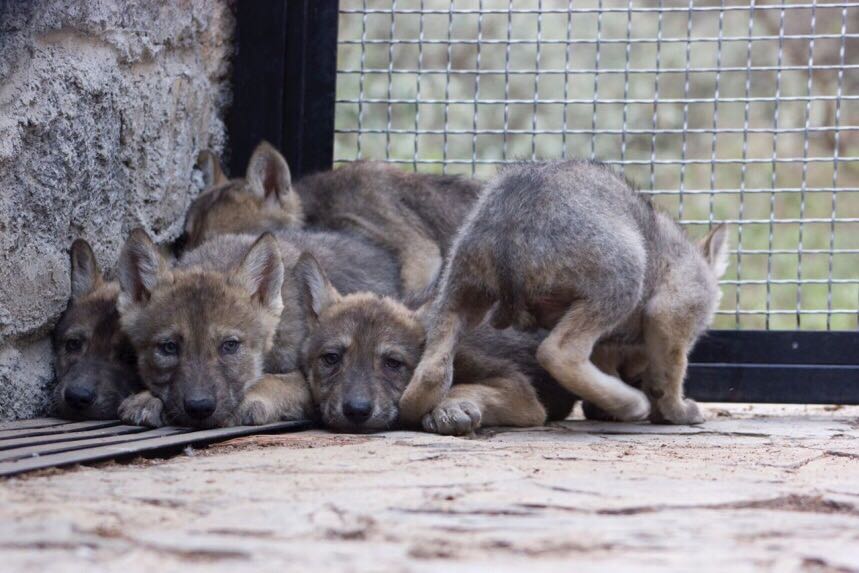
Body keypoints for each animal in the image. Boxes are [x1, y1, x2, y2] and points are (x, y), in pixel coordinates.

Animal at [116, 227, 400, 428]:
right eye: (168, 347)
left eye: (230, 346)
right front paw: (145, 397)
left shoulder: (312, 381)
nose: (199, 407)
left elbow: (271, 380)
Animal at [294, 254, 577, 434]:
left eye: (392, 363)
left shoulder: (520, 391)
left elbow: (463, 387)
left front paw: (449, 407)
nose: (356, 411)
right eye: (331, 358)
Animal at [399, 161, 729, 426]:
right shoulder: (671, 313)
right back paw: (631, 403)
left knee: (430, 375)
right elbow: (671, 373)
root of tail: (513, 211)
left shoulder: (610, 344)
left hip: (457, 290)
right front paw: (677, 411)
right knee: (557, 352)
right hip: (624, 276)